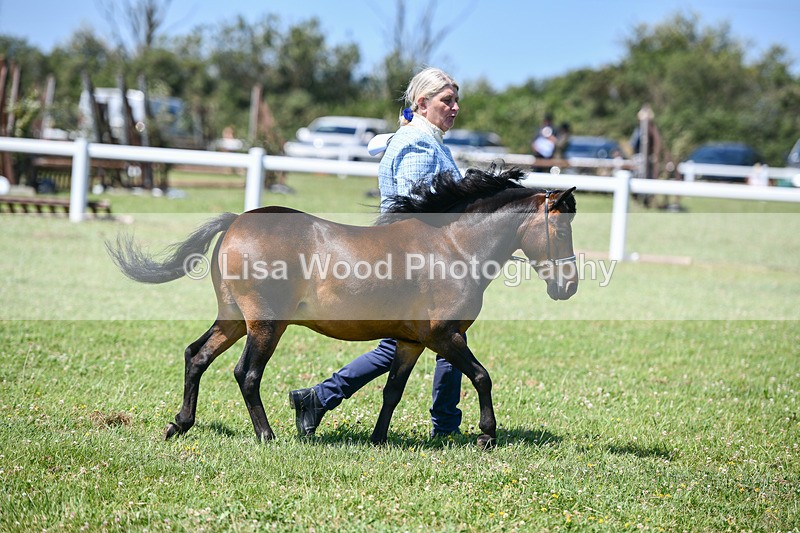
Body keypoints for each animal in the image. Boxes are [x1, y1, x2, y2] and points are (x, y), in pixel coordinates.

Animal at [106, 167, 578, 448]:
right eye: (561, 229)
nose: (569, 286)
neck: (453, 246)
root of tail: (238, 220)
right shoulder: (445, 335)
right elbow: (481, 377)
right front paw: (486, 436)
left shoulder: (411, 342)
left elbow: (392, 392)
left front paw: (378, 440)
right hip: (266, 324)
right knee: (246, 374)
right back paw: (267, 436)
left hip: (234, 320)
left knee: (196, 355)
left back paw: (179, 424)